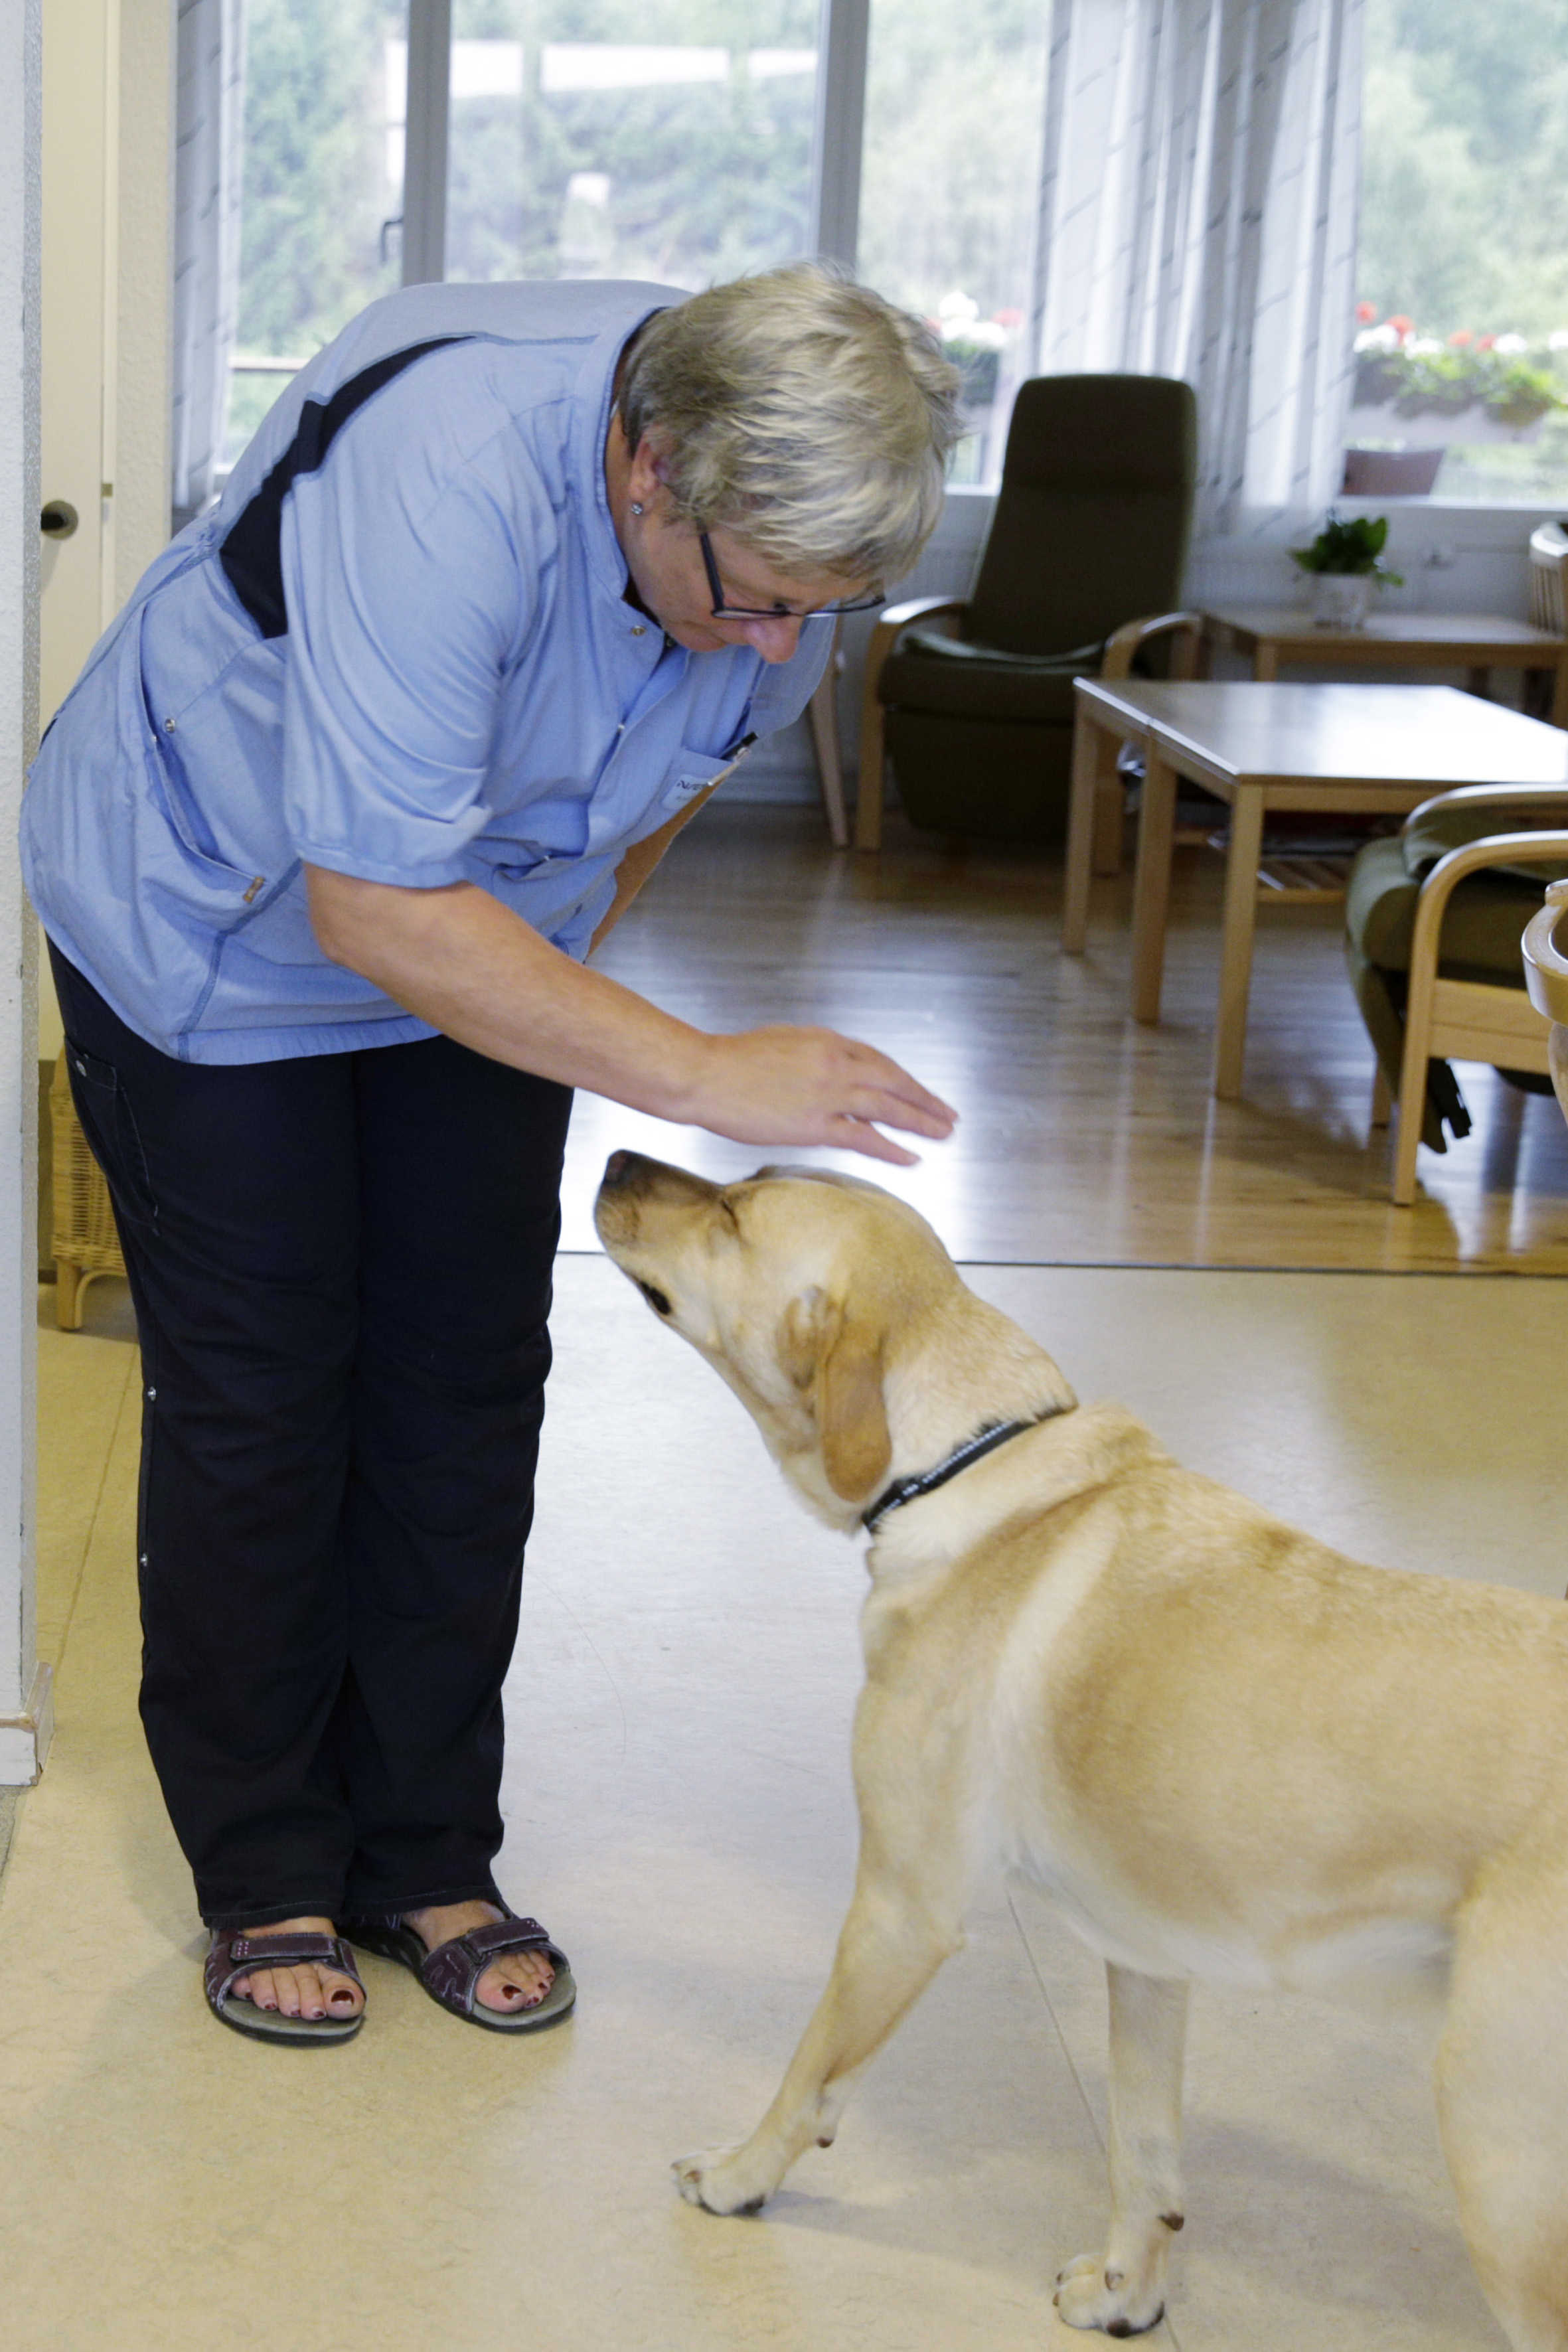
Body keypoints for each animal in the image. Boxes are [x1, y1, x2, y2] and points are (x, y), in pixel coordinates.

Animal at [594, 1147, 1568, 2342]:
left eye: (732, 1213)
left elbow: (808, 2071)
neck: (966, 1461)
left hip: (1500, 2150)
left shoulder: (900, 1905)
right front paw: (1127, 2294)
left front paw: (738, 2176)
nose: (612, 1157)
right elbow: (1145, 2157)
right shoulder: (1147, 1961)